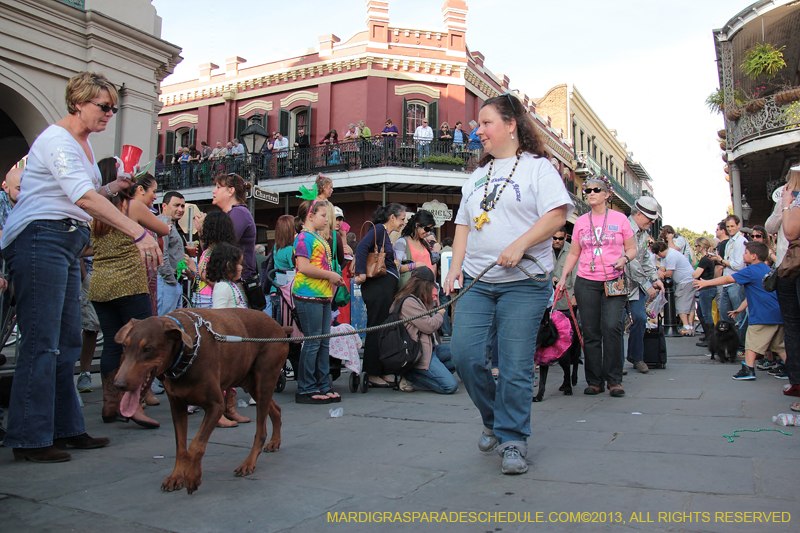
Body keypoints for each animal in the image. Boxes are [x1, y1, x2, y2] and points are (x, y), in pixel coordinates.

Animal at [111, 308, 290, 494]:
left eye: (148, 349)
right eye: (124, 346)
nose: (118, 384)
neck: (185, 354)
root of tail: (279, 327)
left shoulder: (215, 406)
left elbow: (196, 444)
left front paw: (192, 477)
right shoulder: (177, 405)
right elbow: (181, 446)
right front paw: (176, 476)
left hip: (264, 380)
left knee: (260, 430)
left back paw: (248, 463)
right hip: (251, 383)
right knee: (275, 409)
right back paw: (274, 442)